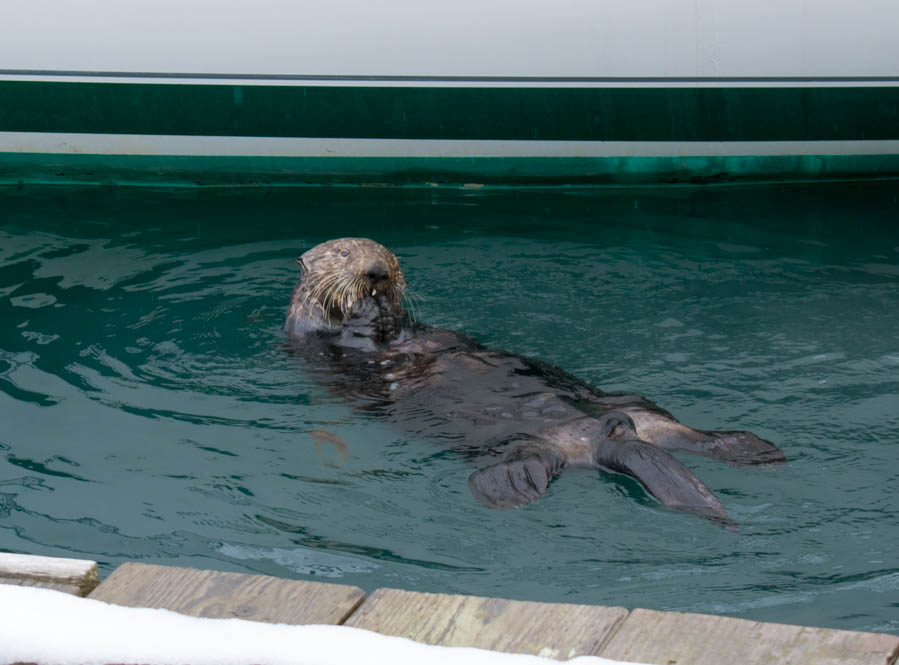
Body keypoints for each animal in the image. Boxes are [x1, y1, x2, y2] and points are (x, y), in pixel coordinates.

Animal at [284, 237, 784, 524]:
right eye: (344, 254)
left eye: (389, 257)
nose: (377, 272)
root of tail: (608, 433)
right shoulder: (322, 342)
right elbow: (359, 336)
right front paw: (367, 305)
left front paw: (383, 301)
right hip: (530, 444)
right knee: (531, 462)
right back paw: (509, 490)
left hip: (630, 404)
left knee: (679, 431)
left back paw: (749, 447)